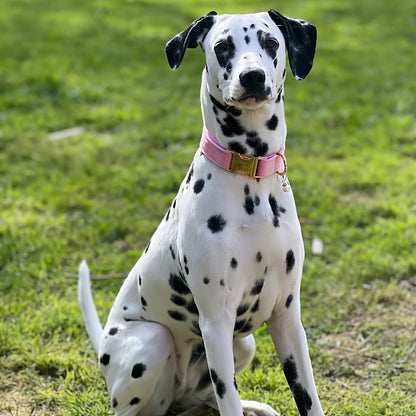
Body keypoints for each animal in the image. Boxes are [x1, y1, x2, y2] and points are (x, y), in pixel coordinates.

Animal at [78, 8, 324, 416]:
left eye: (271, 42)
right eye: (222, 46)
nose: (252, 76)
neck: (250, 177)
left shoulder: (288, 317)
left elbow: (308, 396)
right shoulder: (216, 323)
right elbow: (229, 400)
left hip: (243, 345)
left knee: (204, 400)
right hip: (152, 341)